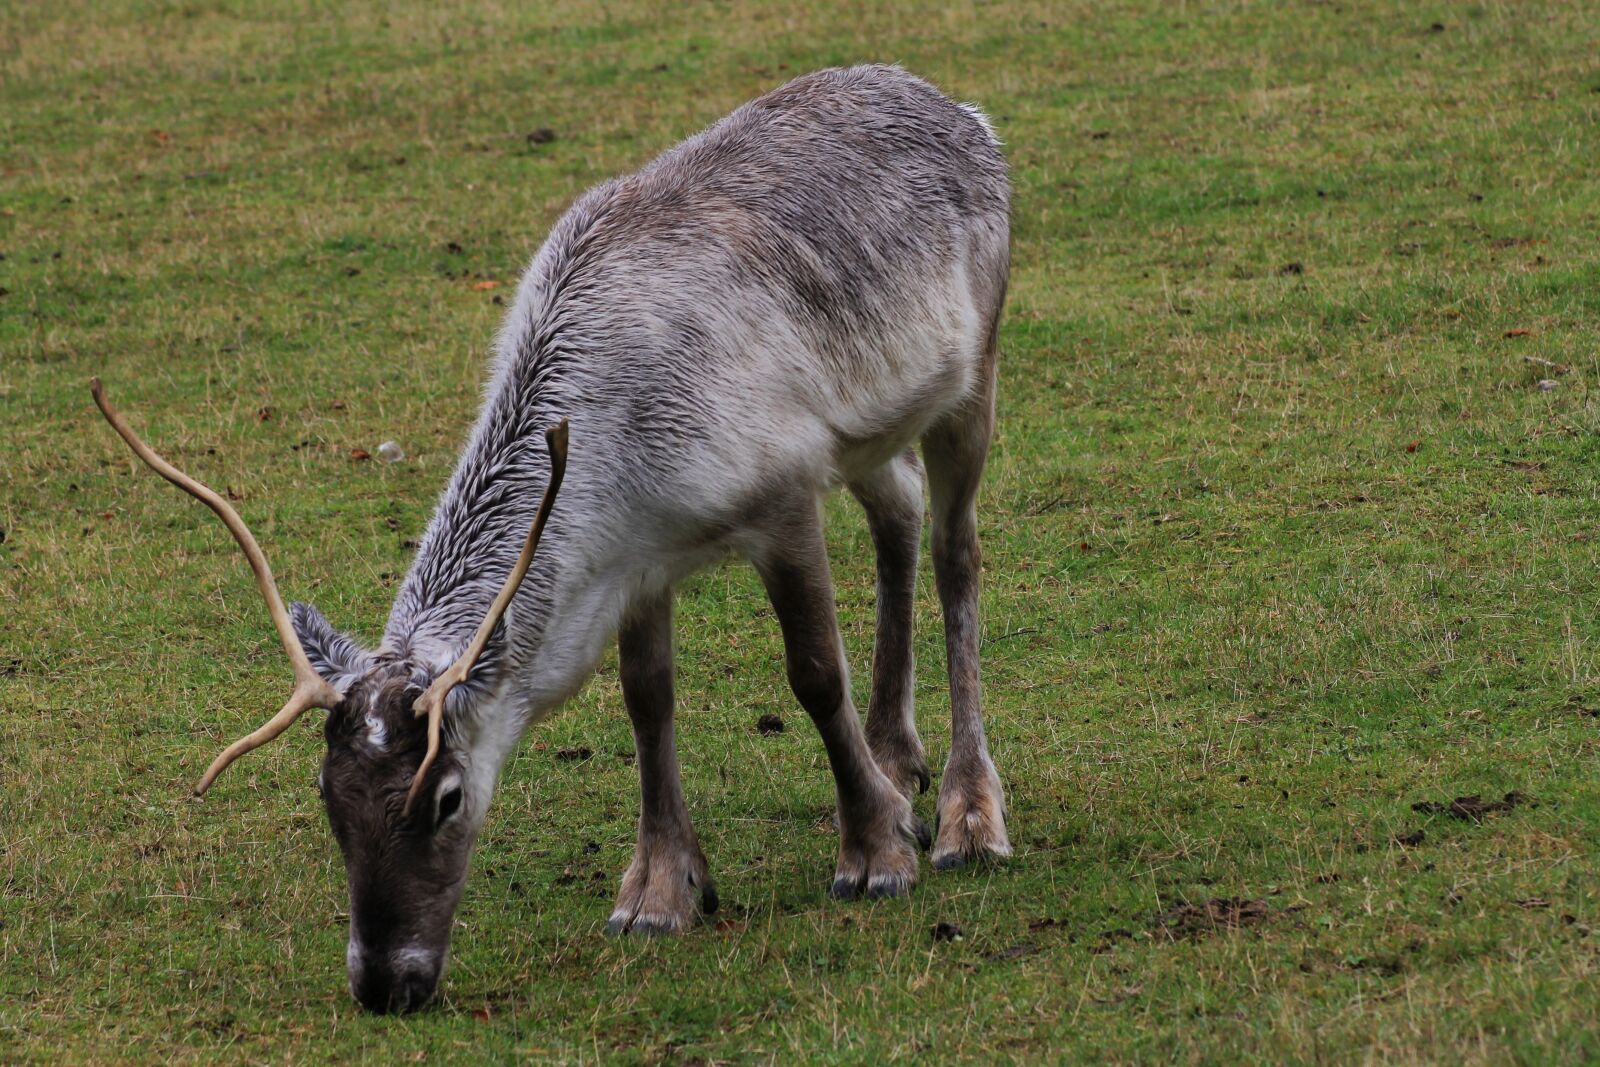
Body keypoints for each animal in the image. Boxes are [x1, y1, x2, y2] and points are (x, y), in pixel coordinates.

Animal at [93, 64, 1012, 1014]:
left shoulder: (784, 495)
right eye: (326, 795)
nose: (386, 981)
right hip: (873, 427)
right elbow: (648, 701)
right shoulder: (638, 560)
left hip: (973, 376)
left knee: (958, 555)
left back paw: (965, 815)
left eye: (447, 797)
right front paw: (658, 889)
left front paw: (874, 852)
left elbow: (815, 676)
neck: (621, 446)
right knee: (899, 509)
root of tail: (963, 112)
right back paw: (898, 755)